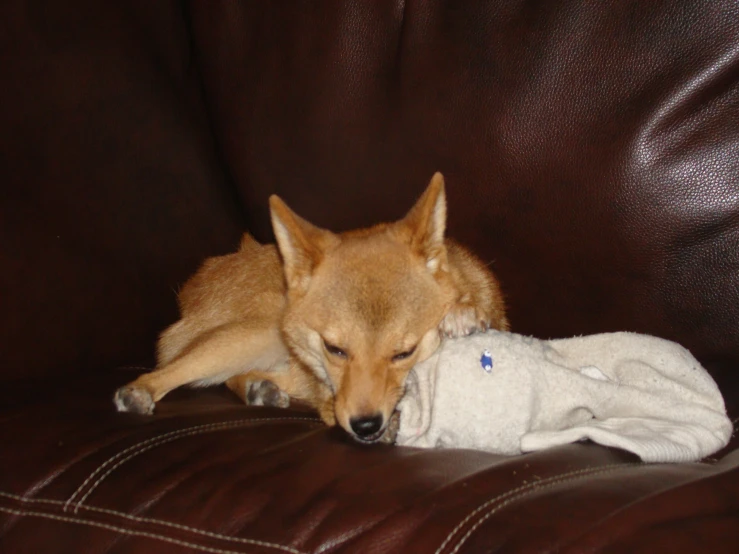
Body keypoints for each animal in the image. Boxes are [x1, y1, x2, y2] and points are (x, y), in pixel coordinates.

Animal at [114, 172, 508, 440]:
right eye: (335, 349)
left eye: (403, 353)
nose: (366, 427)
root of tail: (200, 280)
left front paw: (463, 314)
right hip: (258, 333)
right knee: (167, 370)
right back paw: (139, 392)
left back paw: (259, 388)